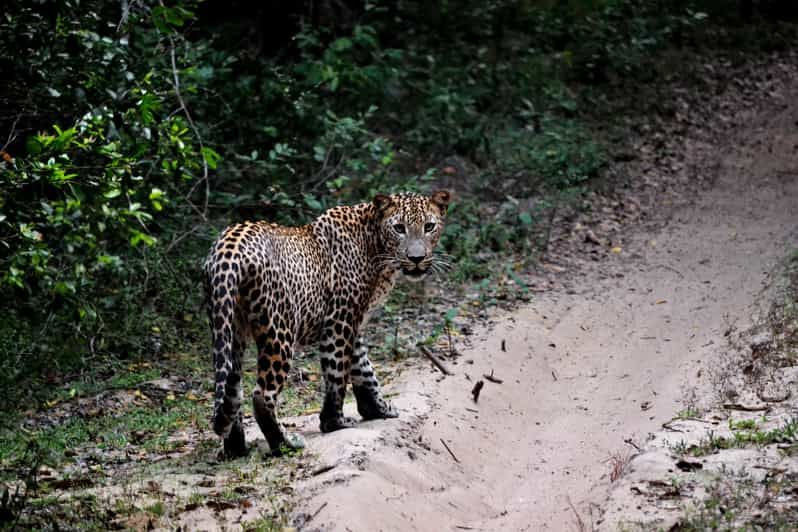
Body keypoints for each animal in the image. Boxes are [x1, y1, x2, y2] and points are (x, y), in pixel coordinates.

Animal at [203, 191, 450, 458]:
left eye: (429, 226)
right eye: (399, 228)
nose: (416, 259)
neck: (376, 245)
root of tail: (228, 248)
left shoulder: (355, 323)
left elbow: (364, 369)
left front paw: (378, 409)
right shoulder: (339, 321)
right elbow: (338, 373)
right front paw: (334, 422)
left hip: (228, 328)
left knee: (232, 387)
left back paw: (235, 448)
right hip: (279, 330)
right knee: (261, 394)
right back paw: (285, 444)